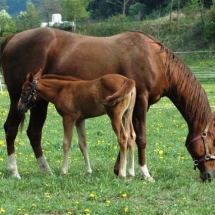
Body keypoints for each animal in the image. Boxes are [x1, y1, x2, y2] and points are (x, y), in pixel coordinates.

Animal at [0, 27, 215, 181]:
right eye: (212, 141)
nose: (209, 176)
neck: (154, 59)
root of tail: (13, 37)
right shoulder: (141, 101)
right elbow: (140, 138)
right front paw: (144, 173)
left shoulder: (132, 106)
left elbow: (128, 136)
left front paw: (120, 170)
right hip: (19, 101)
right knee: (11, 129)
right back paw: (14, 172)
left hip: (38, 103)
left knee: (34, 133)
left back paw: (46, 171)